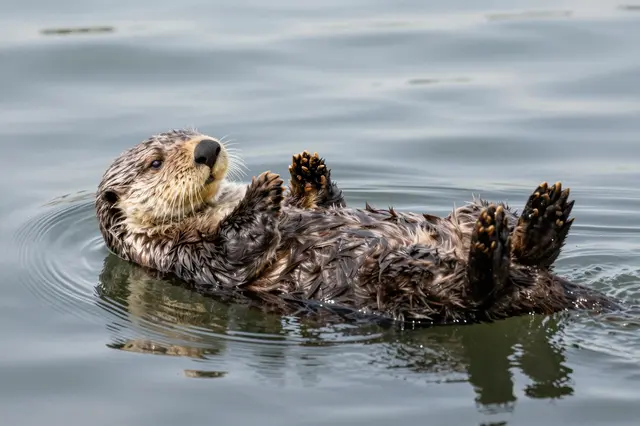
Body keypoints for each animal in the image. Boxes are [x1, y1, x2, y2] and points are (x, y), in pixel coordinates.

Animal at [95, 128, 621, 326]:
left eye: (191, 132)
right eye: (156, 161)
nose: (208, 147)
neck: (213, 208)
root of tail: (544, 288)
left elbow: (322, 201)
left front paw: (308, 173)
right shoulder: (180, 257)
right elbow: (234, 250)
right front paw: (263, 191)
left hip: (465, 217)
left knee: (516, 245)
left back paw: (542, 215)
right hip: (403, 281)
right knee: (479, 294)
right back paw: (493, 252)